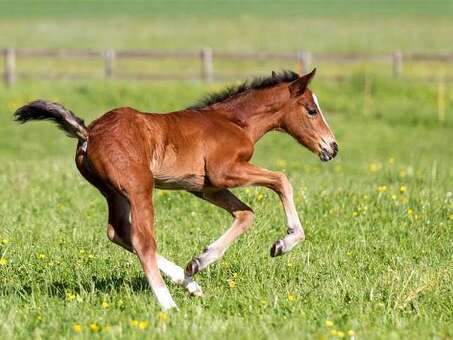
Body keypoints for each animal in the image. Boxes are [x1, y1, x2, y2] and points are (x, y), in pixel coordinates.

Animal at [14, 69, 336, 310]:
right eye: (311, 110)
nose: (332, 148)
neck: (234, 122)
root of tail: (88, 133)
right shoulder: (225, 172)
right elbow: (282, 180)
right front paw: (286, 242)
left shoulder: (206, 188)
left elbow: (246, 214)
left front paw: (198, 262)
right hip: (139, 188)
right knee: (142, 240)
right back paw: (168, 304)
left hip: (114, 193)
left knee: (118, 231)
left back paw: (189, 283)